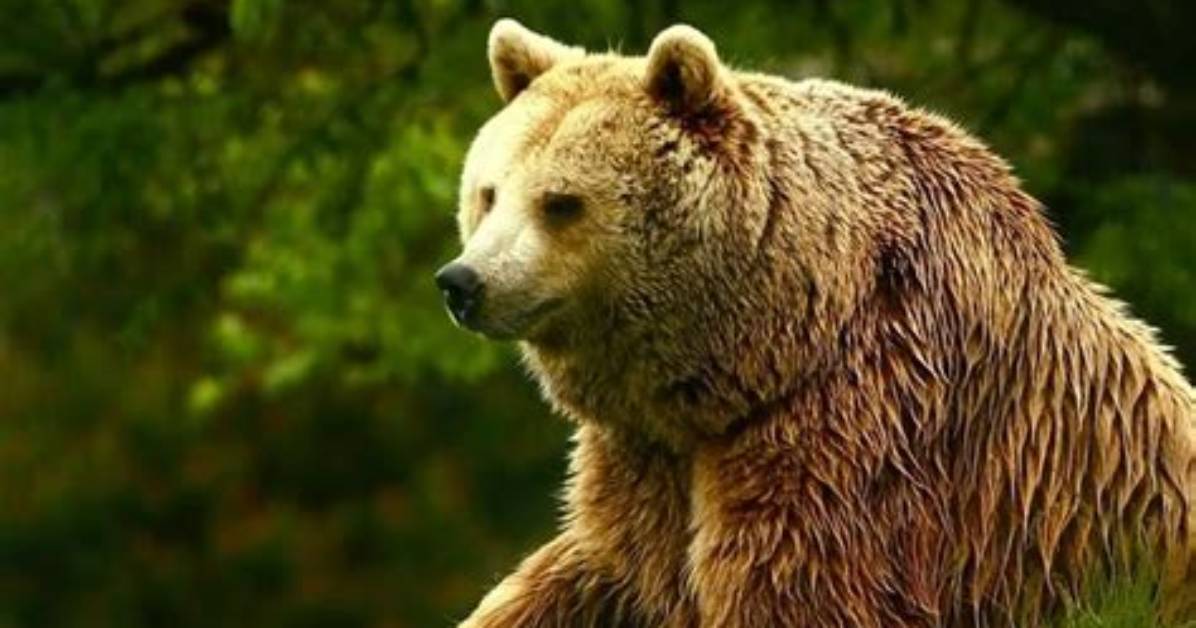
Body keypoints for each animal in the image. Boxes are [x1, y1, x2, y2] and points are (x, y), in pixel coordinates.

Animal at [435, 18, 1196, 627]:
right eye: (490, 192)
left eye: (561, 202)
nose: (463, 282)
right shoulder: (649, 458)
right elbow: (595, 572)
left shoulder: (863, 427)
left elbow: (792, 585)